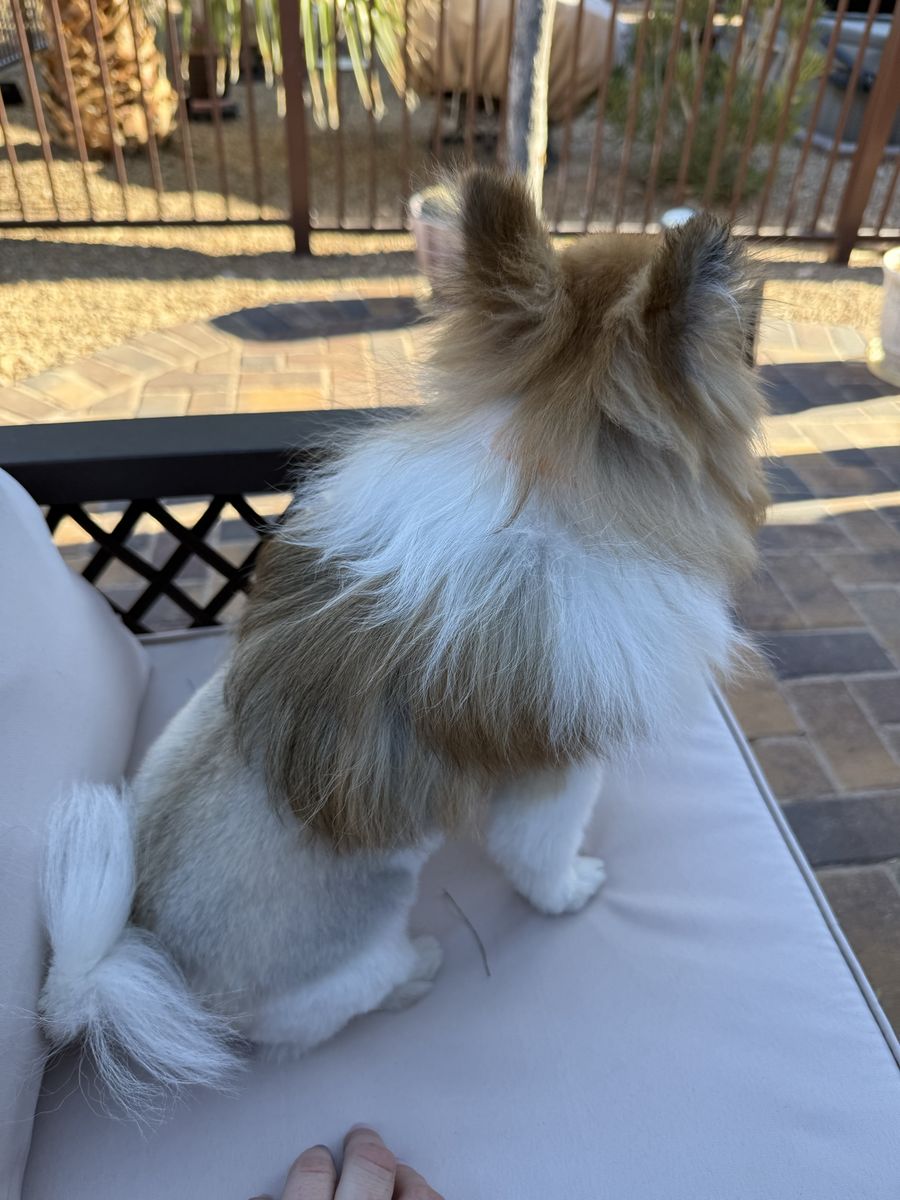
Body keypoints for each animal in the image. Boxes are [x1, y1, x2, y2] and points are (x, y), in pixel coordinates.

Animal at [38, 169, 768, 1110]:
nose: (755, 303)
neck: (544, 472)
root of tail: (123, 965)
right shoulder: (555, 773)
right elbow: (541, 855)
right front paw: (572, 891)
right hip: (351, 957)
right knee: (347, 1002)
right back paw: (418, 969)